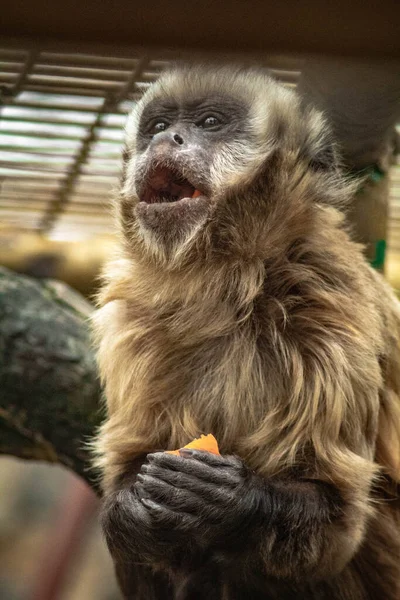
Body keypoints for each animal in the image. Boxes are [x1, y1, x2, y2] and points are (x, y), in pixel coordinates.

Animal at [92, 67, 400, 600]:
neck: (230, 287)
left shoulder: (334, 300)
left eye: (210, 124)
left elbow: (338, 513)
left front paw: (229, 501)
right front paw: (133, 505)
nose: (167, 140)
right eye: (158, 127)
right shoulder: (130, 321)